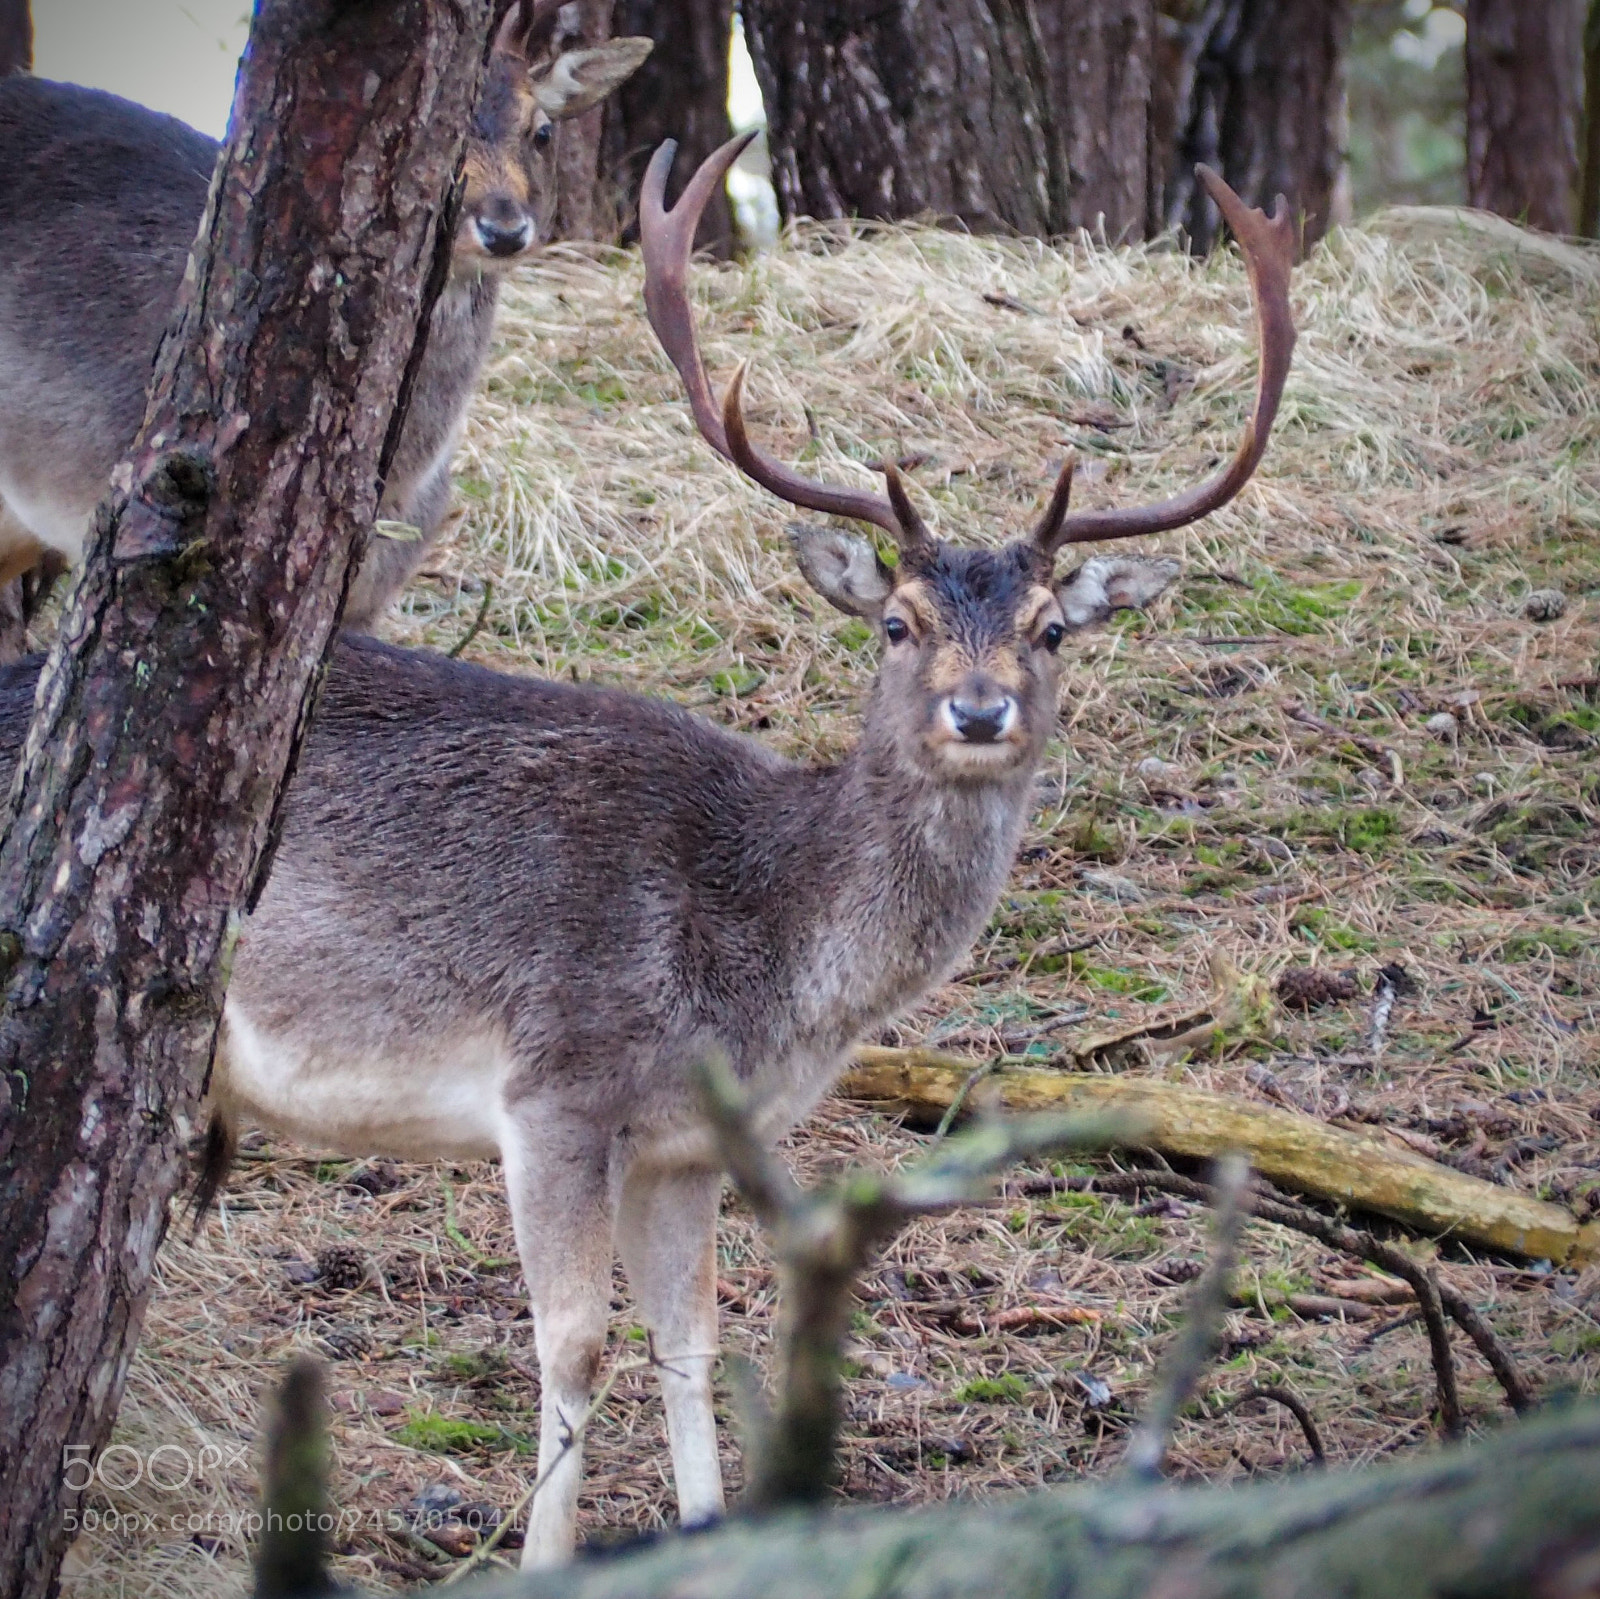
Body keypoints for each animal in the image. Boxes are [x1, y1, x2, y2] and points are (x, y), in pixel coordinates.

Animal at [0, 139, 1294, 1564]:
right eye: (896, 622)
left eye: (1051, 631)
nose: (977, 710)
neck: (757, 950)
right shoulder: (554, 1085)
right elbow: (574, 1344)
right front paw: (543, 1560)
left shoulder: (680, 1143)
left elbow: (690, 1340)